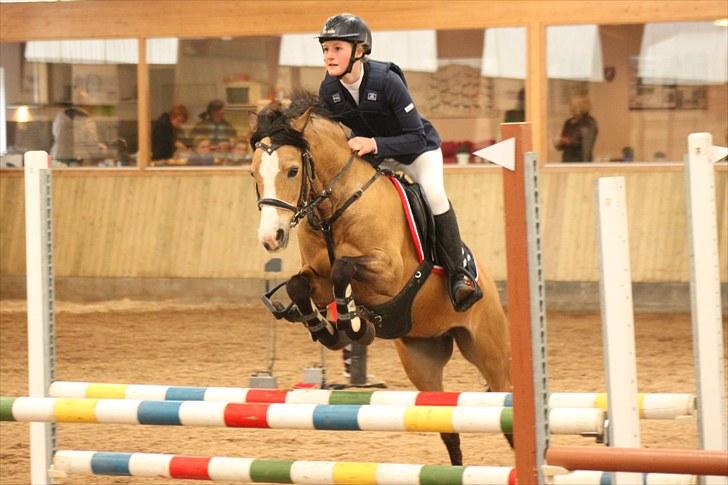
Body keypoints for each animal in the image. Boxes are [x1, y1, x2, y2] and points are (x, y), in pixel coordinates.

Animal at [249, 93, 512, 465]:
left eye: (292, 170)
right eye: (253, 172)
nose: (271, 238)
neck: (334, 209)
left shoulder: (389, 273)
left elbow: (345, 268)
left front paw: (355, 323)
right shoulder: (318, 279)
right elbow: (302, 285)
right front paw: (328, 329)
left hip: (489, 351)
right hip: (422, 359)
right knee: (447, 427)